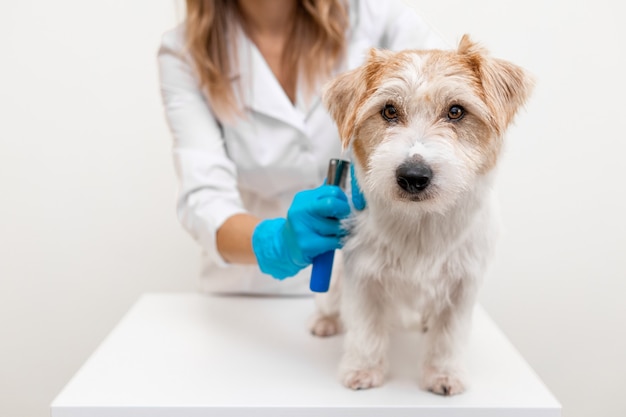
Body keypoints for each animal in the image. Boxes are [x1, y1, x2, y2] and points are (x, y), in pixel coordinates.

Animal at [310, 35, 528, 394]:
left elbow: (448, 336)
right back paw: (324, 321)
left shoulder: (463, 285)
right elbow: (366, 328)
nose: (413, 175)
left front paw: (443, 374)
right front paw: (363, 370)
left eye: (456, 111)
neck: (421, 222)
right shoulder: (363, 276)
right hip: (334, 273)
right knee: (329, 300)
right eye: (388, 111)